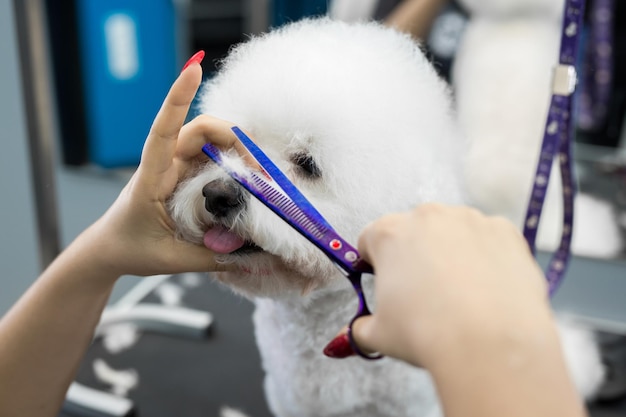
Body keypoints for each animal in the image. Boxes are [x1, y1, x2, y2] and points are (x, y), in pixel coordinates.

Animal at [171, 17, 604, 416]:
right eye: (225, 148)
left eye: (307, 164)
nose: (219, 195)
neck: (323, 318)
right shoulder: (293, 399)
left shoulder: (414, 405)